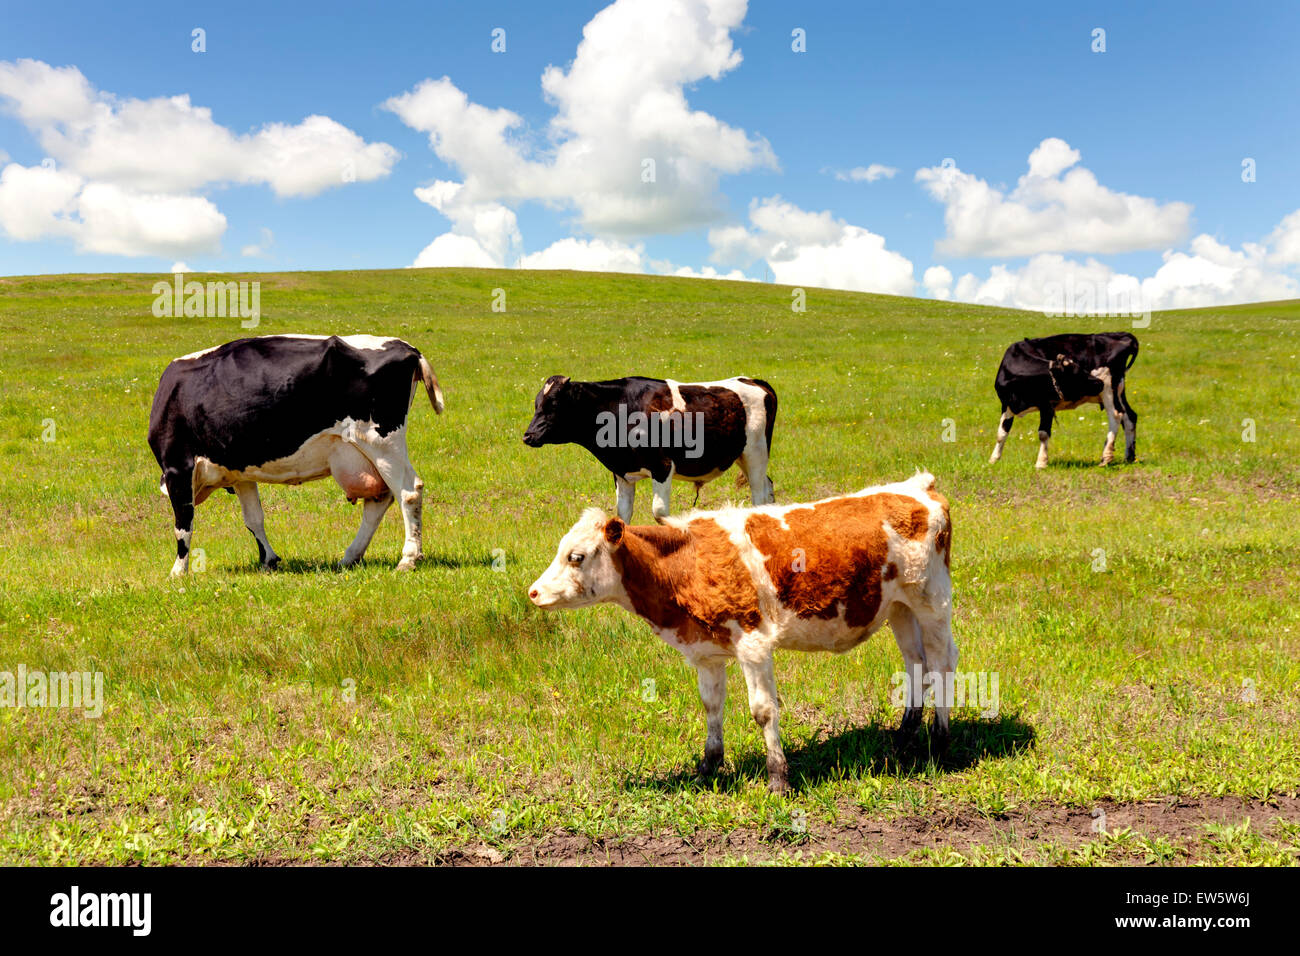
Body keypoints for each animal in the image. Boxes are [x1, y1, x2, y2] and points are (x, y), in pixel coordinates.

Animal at [148, 335, 447, 574]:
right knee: (379, 500)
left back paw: (408, 559)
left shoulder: (178, 467)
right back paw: (350, 557)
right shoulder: (240, 473)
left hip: (383, 443)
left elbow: (183, 524)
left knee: (409, 492)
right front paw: (268, 559)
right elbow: (253, 518)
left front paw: (178, 571)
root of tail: (408, 347)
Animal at [522, 374, 774, 522]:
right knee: (768, 488)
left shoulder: (662, 466)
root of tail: (754, 381)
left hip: (756, 453)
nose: (528, 435)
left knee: (759, 495)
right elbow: (622, 515)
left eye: (553, 403)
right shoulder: (621, 472)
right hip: (742, 456)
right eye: (536, 404)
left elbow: (660, 513)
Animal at [527, 470, 956, 790]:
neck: (687, 563)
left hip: (931, 600)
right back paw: (903, 738)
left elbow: (763, 711)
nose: (533, 592)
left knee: (941, 662)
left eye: (576, 556)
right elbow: (711, 706)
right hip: (898, 607)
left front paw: (778, 779)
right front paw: (708, 768)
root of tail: (918, 486)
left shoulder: (754, 644)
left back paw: (940, 743)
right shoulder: (706, 652)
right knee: (915, 663)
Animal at [982, 332, 1138, 470]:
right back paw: (1129, 457)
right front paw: (993, 459)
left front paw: (1041, 462)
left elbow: (1043, 433)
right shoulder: (1006, 405)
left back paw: (1106, 457)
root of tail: (1119, 335)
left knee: (1116, 415)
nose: (1099, 382)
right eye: (1077, 374)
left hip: (1109, 388)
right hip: (1118, 391)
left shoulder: (1047, 405)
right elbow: (1001, 433)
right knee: (1130, 416)